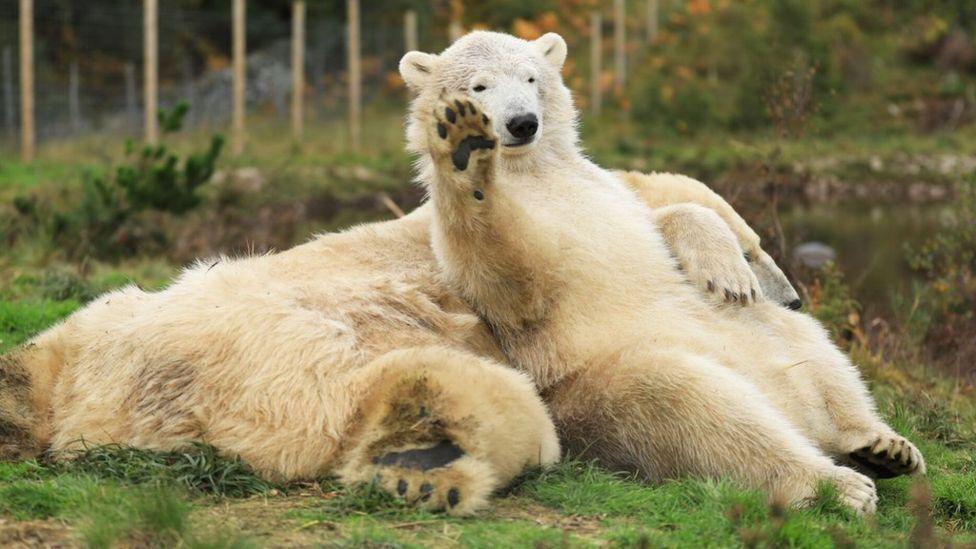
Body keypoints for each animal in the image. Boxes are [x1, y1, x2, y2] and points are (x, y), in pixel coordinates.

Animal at [408, 31, 928, 512]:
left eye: (532, 78)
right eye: (479, 86)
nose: (522, 122)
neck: (531, 170)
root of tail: (790, 411)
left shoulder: (605, 188)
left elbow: (660, 219)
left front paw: (727, 272)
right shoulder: (507, 264)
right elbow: (508, 276)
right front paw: (466, 150)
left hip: (757, 335)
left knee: (810, 347)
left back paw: (881, 444)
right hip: (599, 390)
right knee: (697, 409)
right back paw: (838, 485)